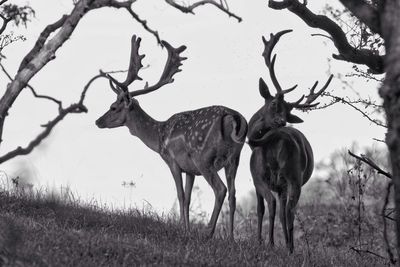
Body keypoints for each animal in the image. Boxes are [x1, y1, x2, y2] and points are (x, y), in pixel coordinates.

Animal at [96, 35, 247, 239]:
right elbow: (188, 197)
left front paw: (183, 230)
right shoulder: (190, 170)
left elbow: (180, 195)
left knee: (220, 189)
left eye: (113, 107)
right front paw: (187, 229)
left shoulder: (172, 161)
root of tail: (233, 117)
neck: (159, 136)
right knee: (233, 194)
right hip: (234, 158)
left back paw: (208, 232)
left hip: (204, 157)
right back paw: (230, 238)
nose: (98, 121)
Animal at [248, 29, 332, 253]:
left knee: (272, 204)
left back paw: (269, 243)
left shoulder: (255, 178)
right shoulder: (283, 186)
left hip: (271, 177)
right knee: (290, 210)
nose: (282, 121)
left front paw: (261, 241)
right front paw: (285, 243)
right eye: (275, 104)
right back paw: (290, 248)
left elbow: (260, 208)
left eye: (287, 111)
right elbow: (283, 213)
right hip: (294, 178)